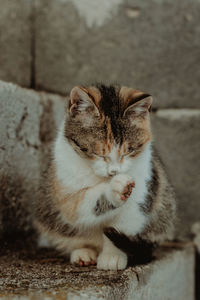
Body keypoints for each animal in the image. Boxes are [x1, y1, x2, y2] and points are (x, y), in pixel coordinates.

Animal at [33, 84, 176, 270]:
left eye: (128, 151)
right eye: (98, 153)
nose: (114, 172)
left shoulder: (143, 191)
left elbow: (121, 223)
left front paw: (112, 257)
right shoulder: (64, 189)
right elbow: (80, 204)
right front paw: (115, 189)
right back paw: (83, 253)